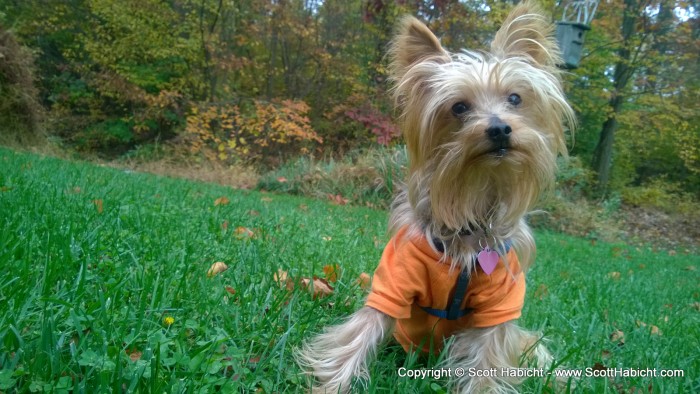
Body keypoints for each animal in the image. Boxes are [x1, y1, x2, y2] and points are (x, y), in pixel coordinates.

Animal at [296, 1, 576, 392]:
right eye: (459, 107)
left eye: (515, 98)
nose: (499, 128)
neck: (472, 210)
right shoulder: (392, 285)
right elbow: (358, 336)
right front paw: (332, 385)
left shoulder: (500, 307)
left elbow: (488, 360)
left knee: (532, 346)